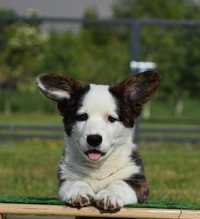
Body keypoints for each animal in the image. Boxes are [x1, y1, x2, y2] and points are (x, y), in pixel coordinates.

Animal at [36, 71, 160, 211]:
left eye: (111, 119)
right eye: (82, 117)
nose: (94, 139)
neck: (97, 167)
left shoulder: (139, 182)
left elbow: (120, 183)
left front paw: (109, 195)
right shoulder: (65, 179)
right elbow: (75, 182)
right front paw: (79, 192)